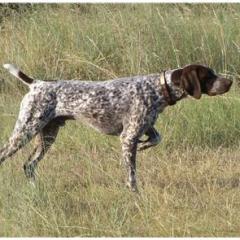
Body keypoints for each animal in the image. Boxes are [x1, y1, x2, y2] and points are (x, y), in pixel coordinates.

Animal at [0, 63, 232, 191]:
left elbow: (157, 138)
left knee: (29, 165)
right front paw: (135, 195)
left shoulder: (142, 128)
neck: (158, 88)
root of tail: (36, 83)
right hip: (24, 132)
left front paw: (144, 146)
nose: (229, 82)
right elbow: (131, 176)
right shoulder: (128, 137)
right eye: (209, 76)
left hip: (47, 136)